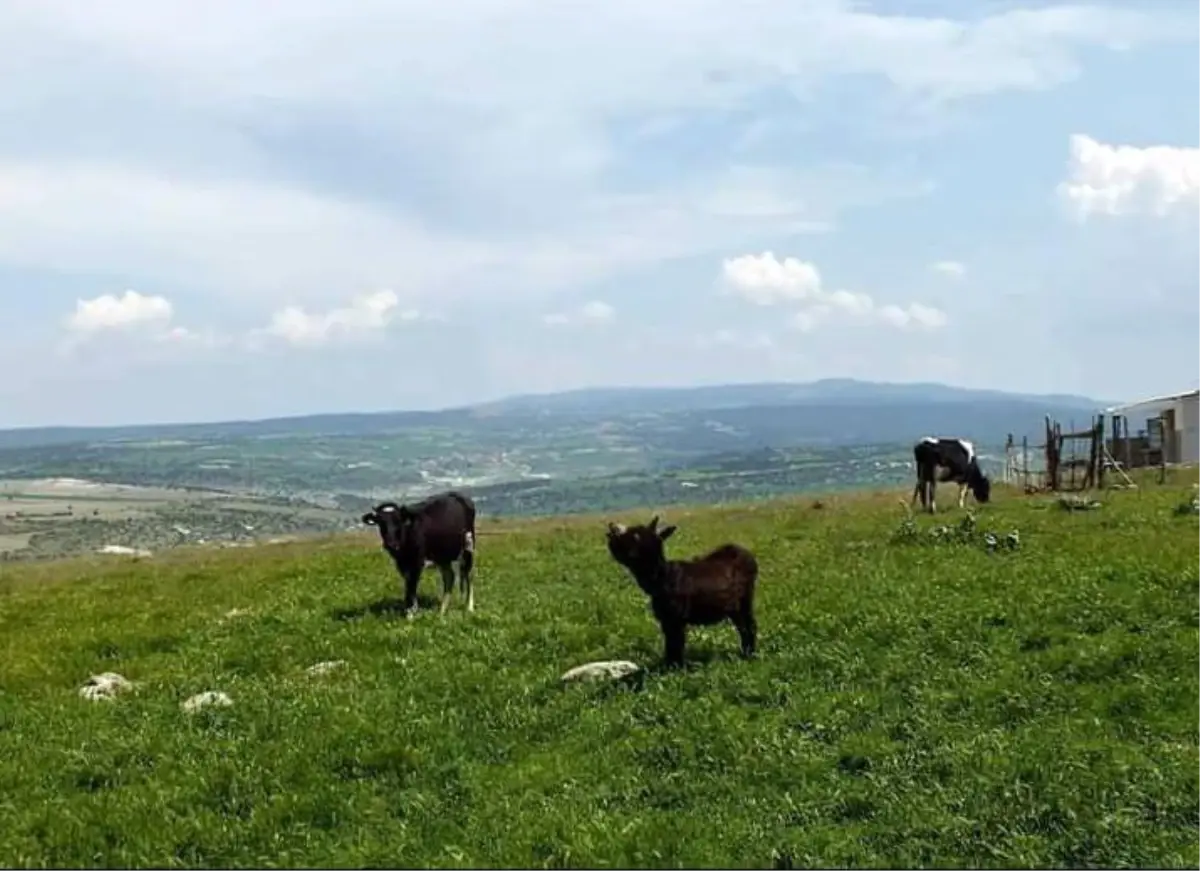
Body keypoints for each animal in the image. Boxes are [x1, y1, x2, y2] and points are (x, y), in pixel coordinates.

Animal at [360, 491, 477, 619]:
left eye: (398, 520)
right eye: (381, 522)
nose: (390, 544)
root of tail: (457, 494)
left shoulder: (417, 562)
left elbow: (412, 587)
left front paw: (411, 614)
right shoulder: (402, 565)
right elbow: (409, 587)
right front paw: (412, 610)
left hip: (468, 546)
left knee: (469, 576)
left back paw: (469, 607)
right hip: (442, 556)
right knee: (449, 577)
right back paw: (441, 611)